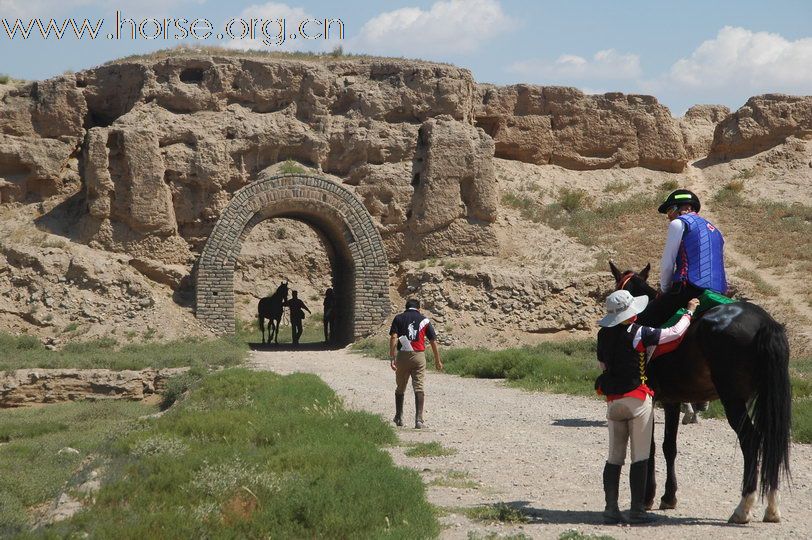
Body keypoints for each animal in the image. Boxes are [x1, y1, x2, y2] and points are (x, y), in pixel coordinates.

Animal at [608, 262, 792, 524]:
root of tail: (764, 322)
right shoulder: (672, 401)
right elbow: (669, 446)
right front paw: (668, 496)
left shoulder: (650, 400)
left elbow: (650, 446)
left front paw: (648, 497)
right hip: (766, 398)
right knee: (770, 439)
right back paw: (772, 508)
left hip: (733, 399)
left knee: (751, 439)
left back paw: (743, 507)